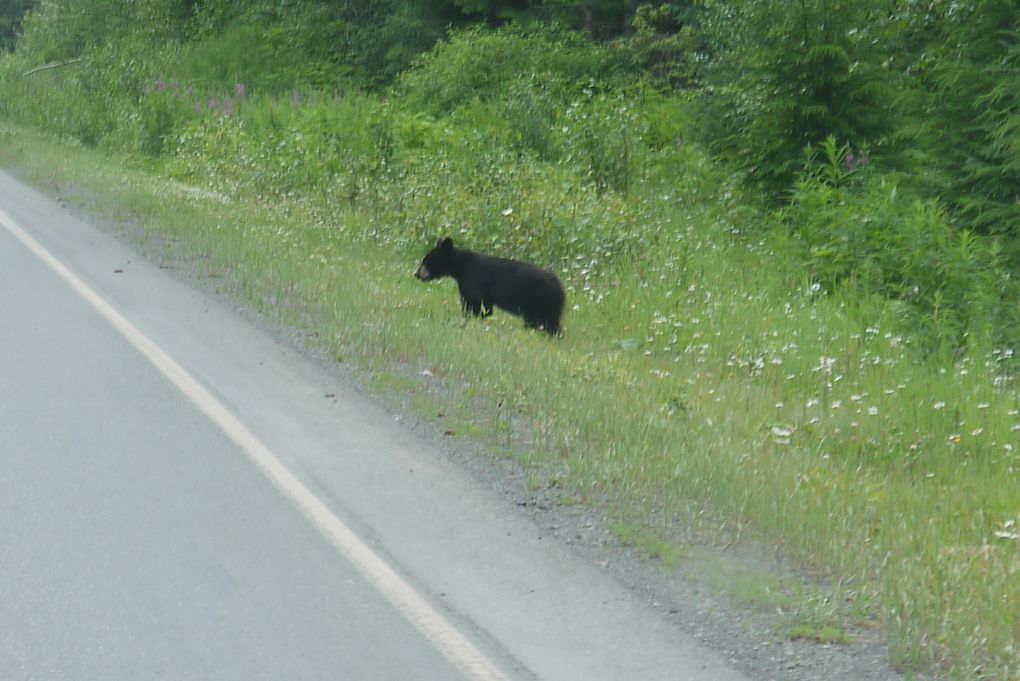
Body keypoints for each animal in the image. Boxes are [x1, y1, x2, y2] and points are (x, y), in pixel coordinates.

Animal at [418, 238, 571, 336]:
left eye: (426, 261)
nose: (417, 273)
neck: (460, 266)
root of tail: (561, 289)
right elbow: (485, 306)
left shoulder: (473, 278)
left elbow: (473, 302)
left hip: (541, 302)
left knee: (549, 323)